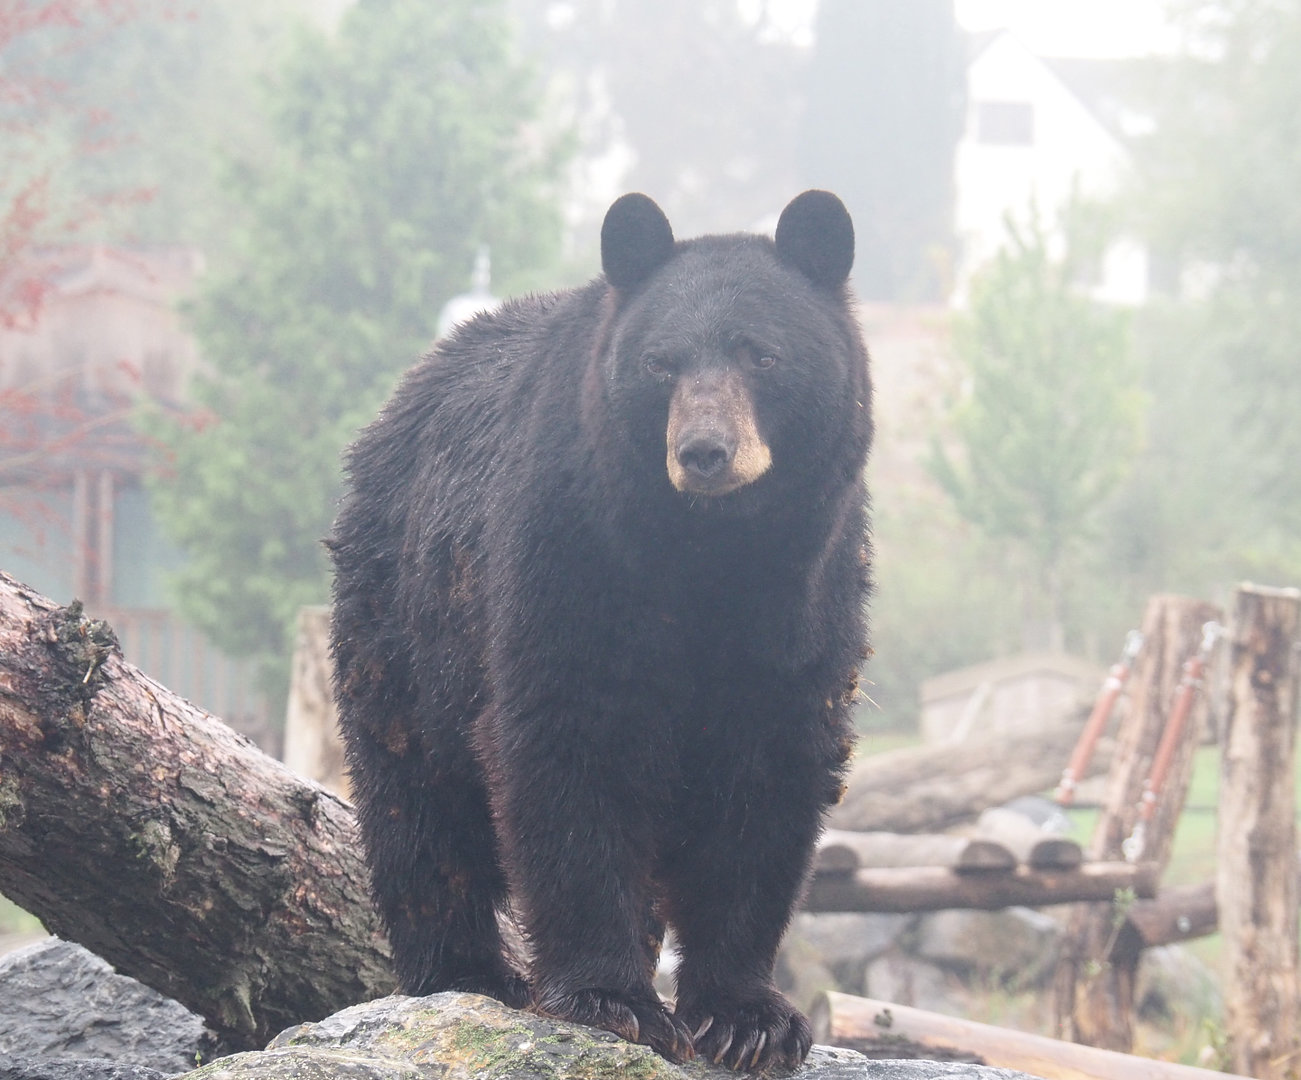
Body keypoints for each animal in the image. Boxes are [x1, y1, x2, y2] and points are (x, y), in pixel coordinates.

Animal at [328, 190, 872, 1073]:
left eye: (761, 356)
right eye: (661, 363)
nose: (704, 451)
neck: (709, 553)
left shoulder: (805, 594)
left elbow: (770, 777)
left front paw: (747, 1017)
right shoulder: (571, 552)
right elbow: (568, 746)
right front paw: (612, 998)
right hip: (403, 615)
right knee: (417, 804)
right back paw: (463, 969)